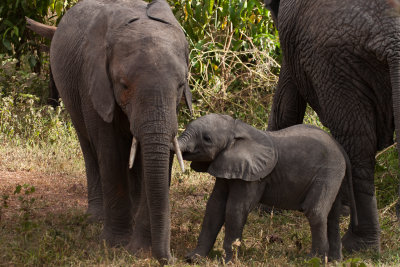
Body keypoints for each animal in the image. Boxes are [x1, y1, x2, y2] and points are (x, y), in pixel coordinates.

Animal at [27, 0, 191, 264]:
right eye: (123, 85)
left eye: (181, 86)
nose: (173, 259)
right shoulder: (93, 83)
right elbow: (110, 151)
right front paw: (115, 244)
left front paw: (139, 249)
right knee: (88, 147)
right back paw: (94, 218)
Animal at [177, 114, 358, 262]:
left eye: (207, 138)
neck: (237, 128)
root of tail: (340, 148)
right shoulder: (226, 166)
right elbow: (215, 206)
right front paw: (193, 259)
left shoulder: (253, 176)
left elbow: (236, 209)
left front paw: (227, 261)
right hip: (335, 173)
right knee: (332, 216)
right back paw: (334, 261)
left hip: (328, 172)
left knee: (315, 211)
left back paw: (313, 260)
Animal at [264, 0, 400, 253]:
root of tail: (391, 36)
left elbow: (286, 100)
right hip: (340, 63)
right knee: (358, 143)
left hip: (334, 61)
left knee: (356, 143)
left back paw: (355, 246)